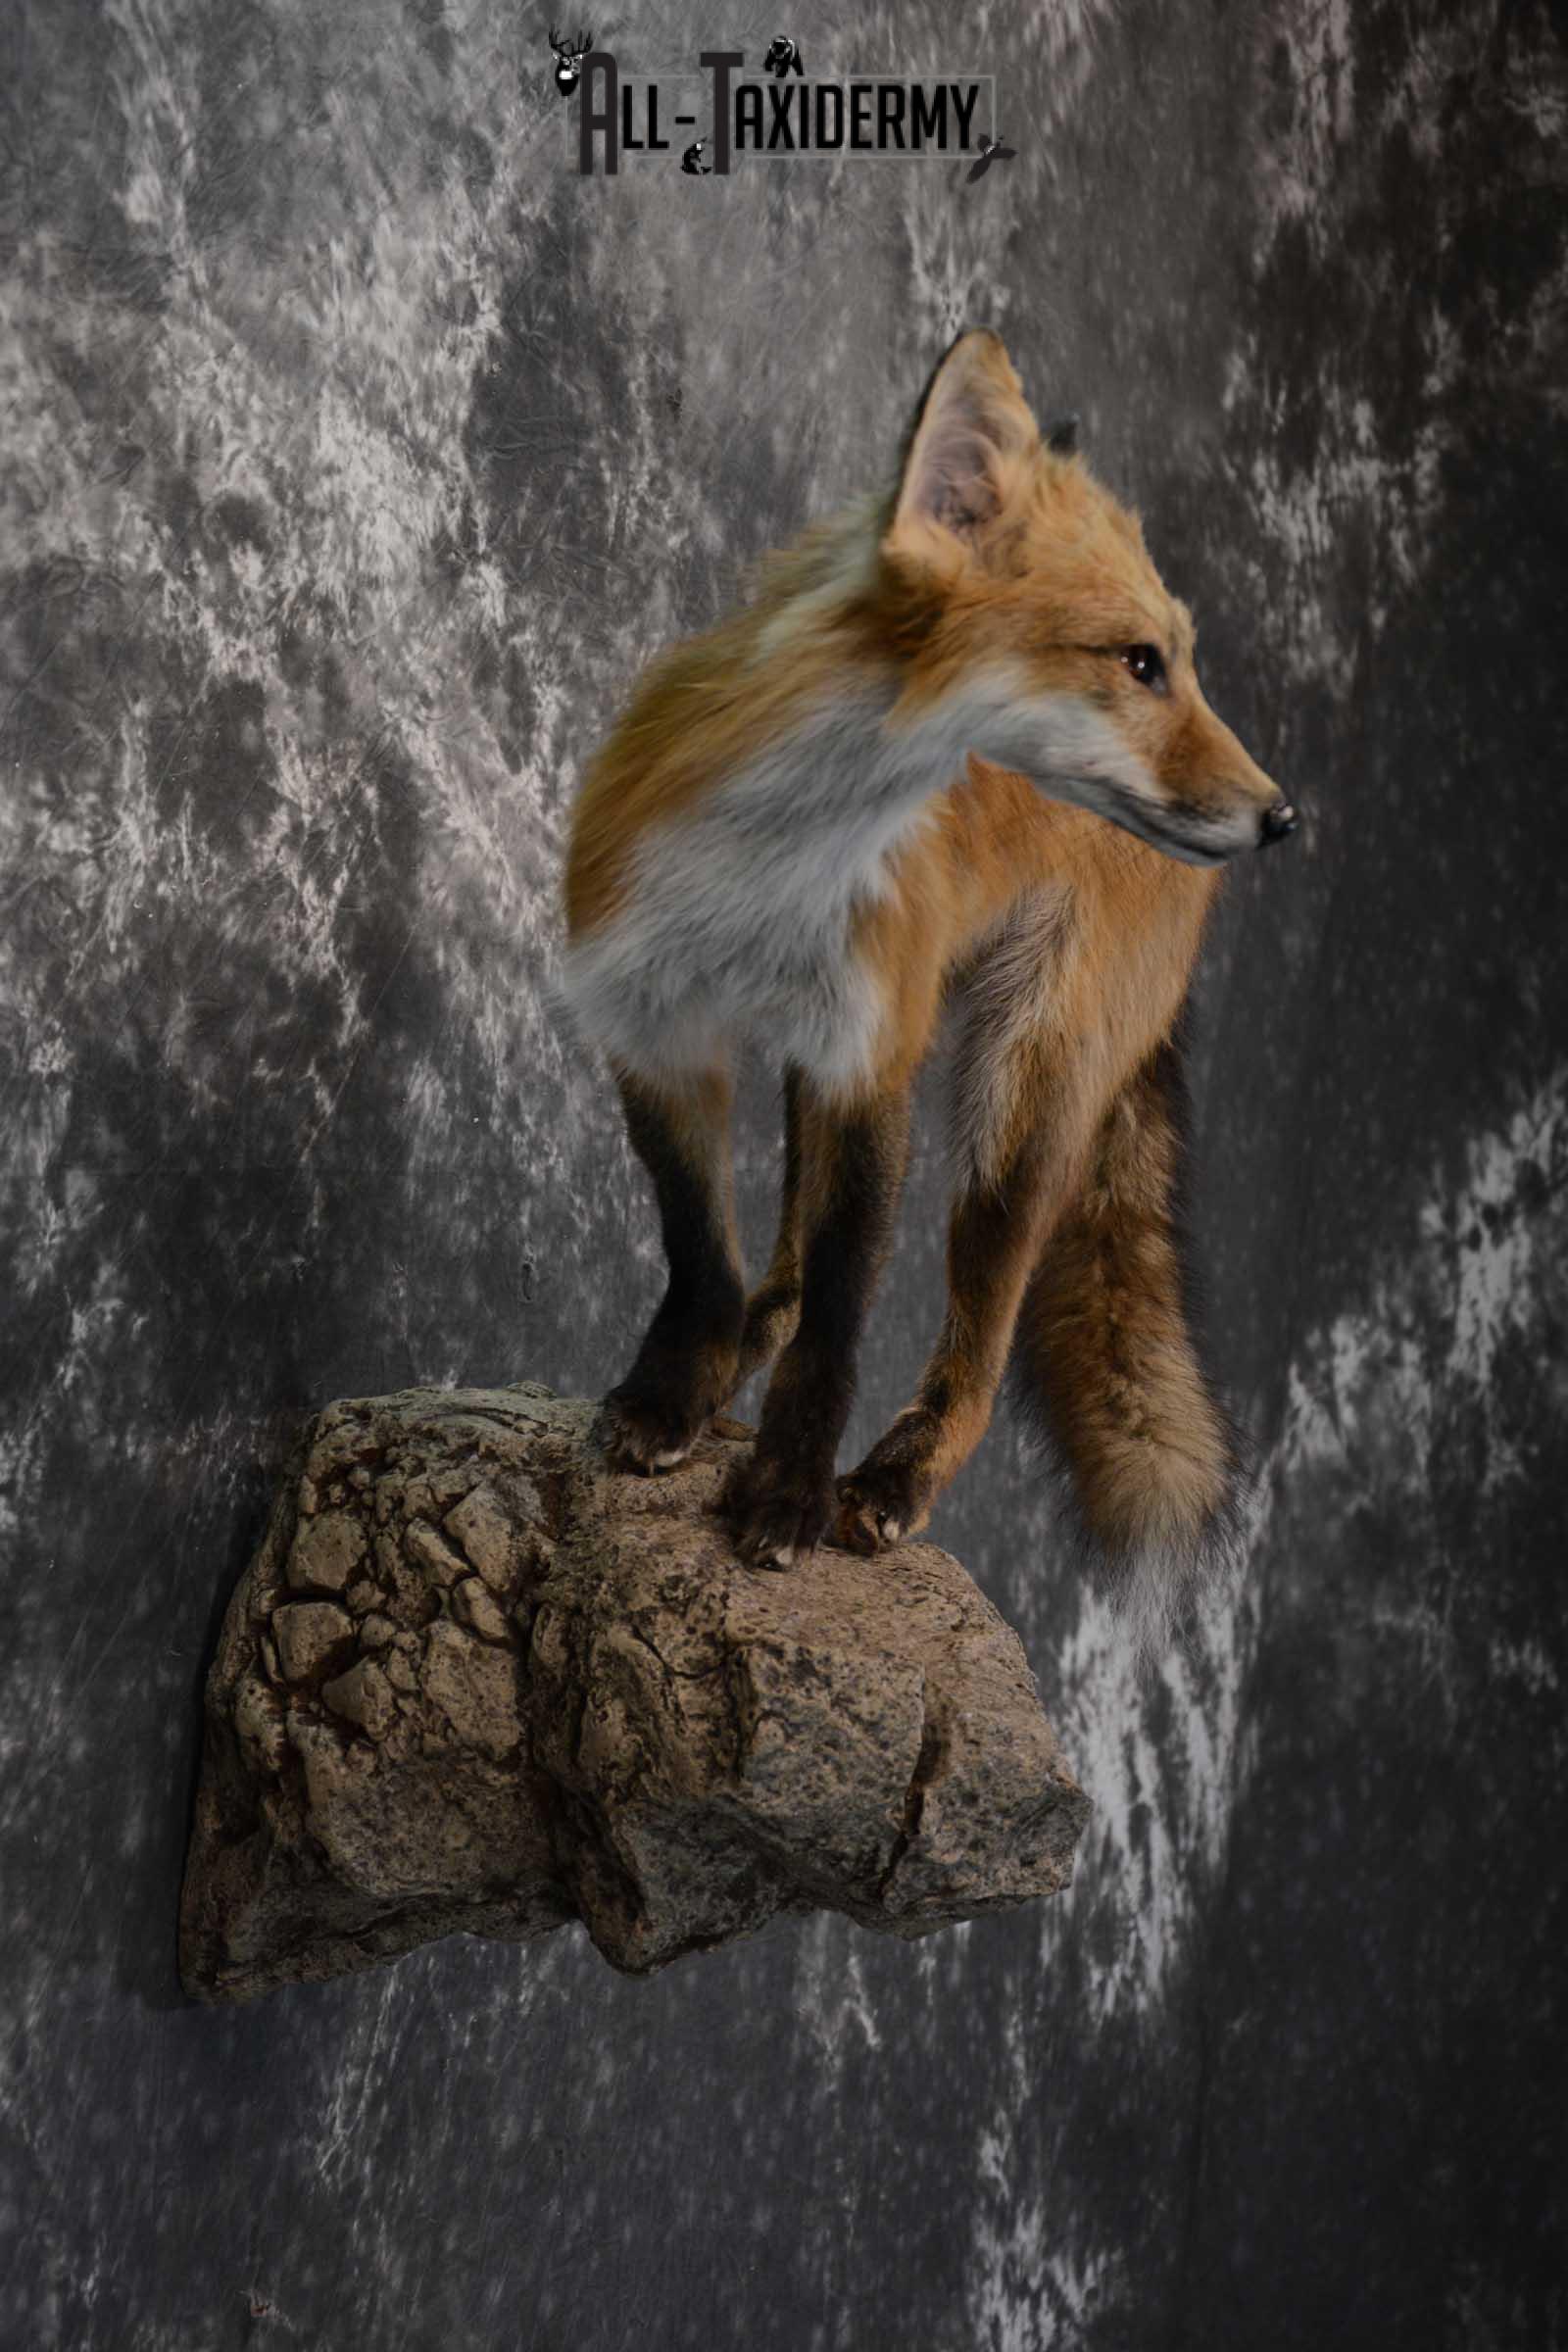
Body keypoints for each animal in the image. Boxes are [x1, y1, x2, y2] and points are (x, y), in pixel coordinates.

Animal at [559, 328, 1299, 1651]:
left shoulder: (873, 1052)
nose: (1283, 817)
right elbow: (702, 1251)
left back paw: (892, 1476)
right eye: (1139, 662)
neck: (773, 865)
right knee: (782, 1270)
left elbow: (846, 1313)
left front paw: (790, 1491)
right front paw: (675, 1393)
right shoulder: (658, 1026)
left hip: (1019, 1103)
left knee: (980, 1341)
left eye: (1177, 661)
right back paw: (743, 1360)